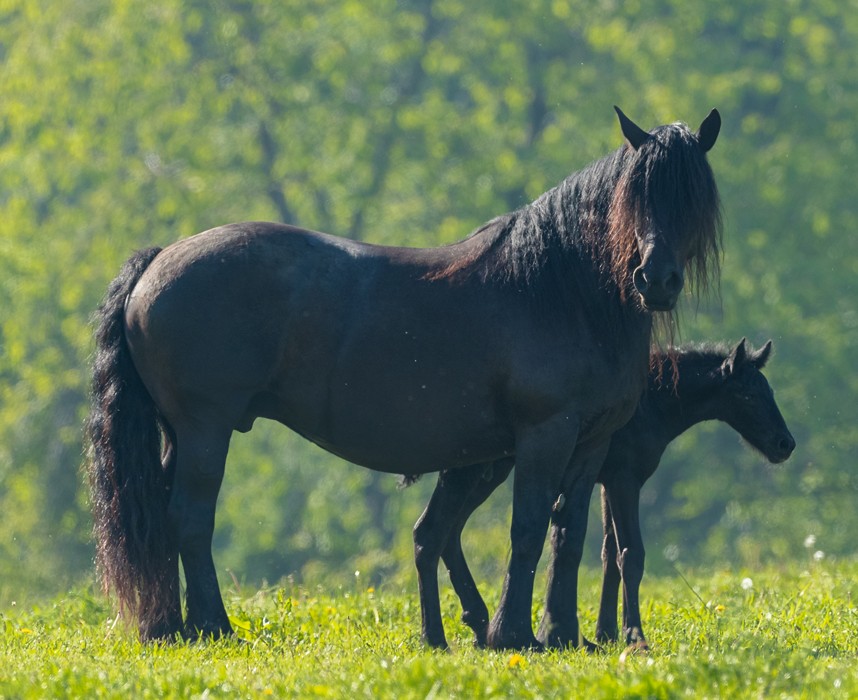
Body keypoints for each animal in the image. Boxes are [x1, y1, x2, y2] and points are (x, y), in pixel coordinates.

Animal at [87, 106, 720, 648]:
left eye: (692, 196)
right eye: (638, 193)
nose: (655, 279)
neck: (561, 290)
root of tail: (159, 259)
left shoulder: (591, 443)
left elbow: (570, 532)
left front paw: (560, 633)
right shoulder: (544, 435)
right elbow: (528, 528)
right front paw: (512, 634)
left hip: (181, 433)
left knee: (164, 519)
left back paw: (173, 626)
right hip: (205, 430)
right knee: (190, 519)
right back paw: (212, 626)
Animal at [412, 340, 792, 652]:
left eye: (769, 390)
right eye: (746, 395)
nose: (784, 444)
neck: (652, 403)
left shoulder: (607, 482)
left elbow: (610, 555)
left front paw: (606, 632)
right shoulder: (626, 479)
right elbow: (631, 555)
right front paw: (634, 636)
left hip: (489, 474)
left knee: (446, 533)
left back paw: (475, 623)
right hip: (473, 471)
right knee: (432, 531)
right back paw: (446, 634)